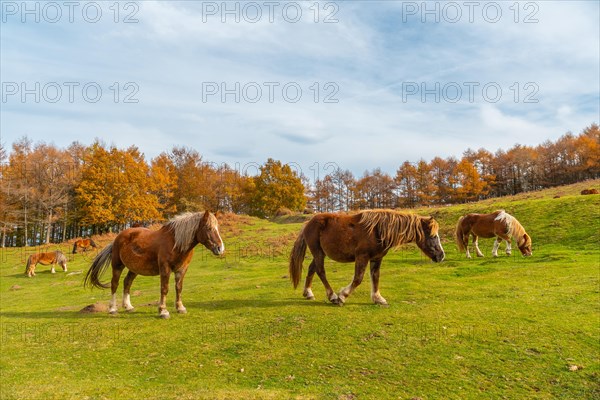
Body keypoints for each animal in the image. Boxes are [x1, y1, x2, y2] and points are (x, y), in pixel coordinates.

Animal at [84, 209, 225, 318]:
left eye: (218, 228)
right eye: (208, 228)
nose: (220, 248)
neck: (176, 243)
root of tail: (117, 238)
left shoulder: (182, 269)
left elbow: (178, 288)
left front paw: (180, 308)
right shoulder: (165, 268)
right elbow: (164, 288)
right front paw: (163, 311)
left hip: (134, 269)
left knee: (127, 282)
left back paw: (128, 306)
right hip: (117, 266)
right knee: (114, 284)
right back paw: (113, 309)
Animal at [288, 209, 448, 306]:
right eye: (433, 236)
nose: (441, 256)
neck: (378, 230)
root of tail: (308, 223)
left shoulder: (376, 258)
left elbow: (375, 277)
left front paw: (378, 298)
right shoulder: (362, 257)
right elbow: (358, 279)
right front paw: (342, 296)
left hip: (320, 253)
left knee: (312, 269)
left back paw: (308, 293)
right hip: (318, 252)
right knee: (321, 271)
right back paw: (332, 296)